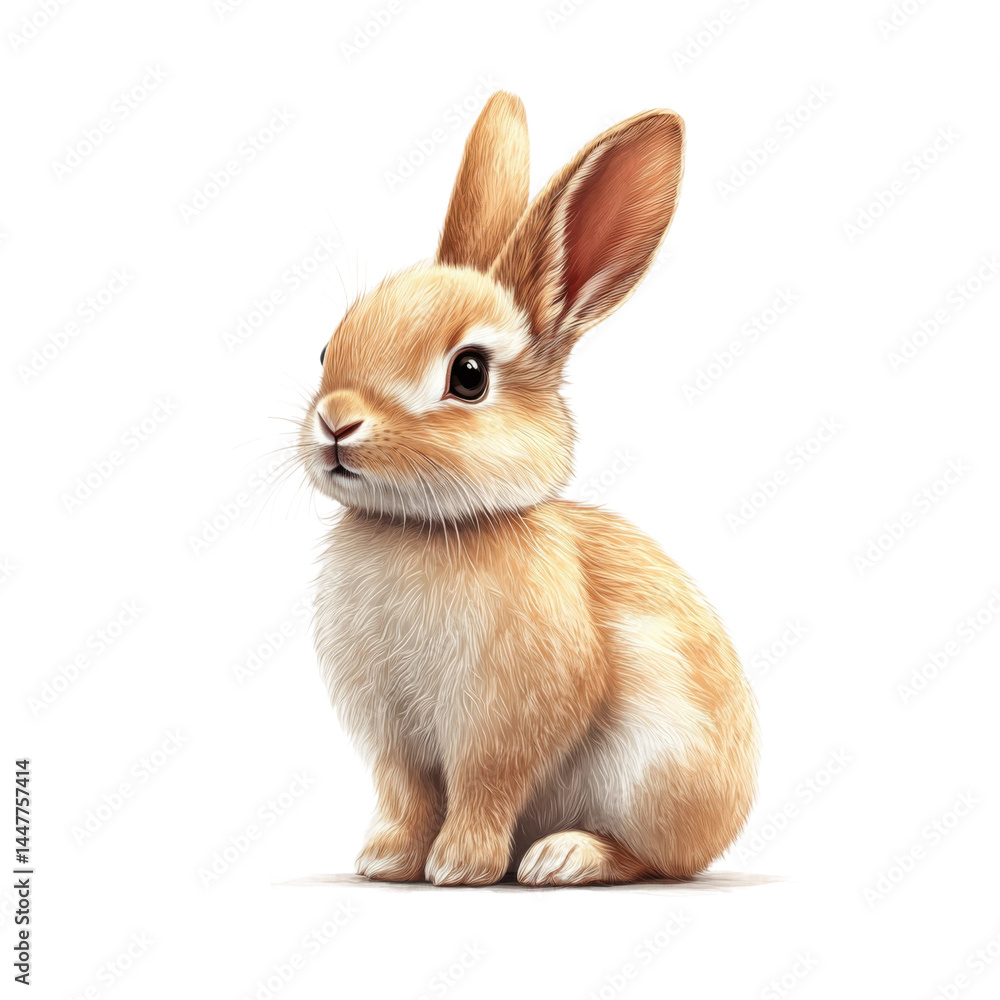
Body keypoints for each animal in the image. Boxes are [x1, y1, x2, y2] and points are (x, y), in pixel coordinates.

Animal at [299, 91, 758, 886]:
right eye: (329, 348)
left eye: (469, 375)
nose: (336, 421)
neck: (419, 529)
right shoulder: (393, 737)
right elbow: (407, 792)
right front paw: (385, 861)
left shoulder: (506, 718)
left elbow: (485, 784)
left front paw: (460, 868)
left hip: (653, 775)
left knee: (654, 859)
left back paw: (562, 857)